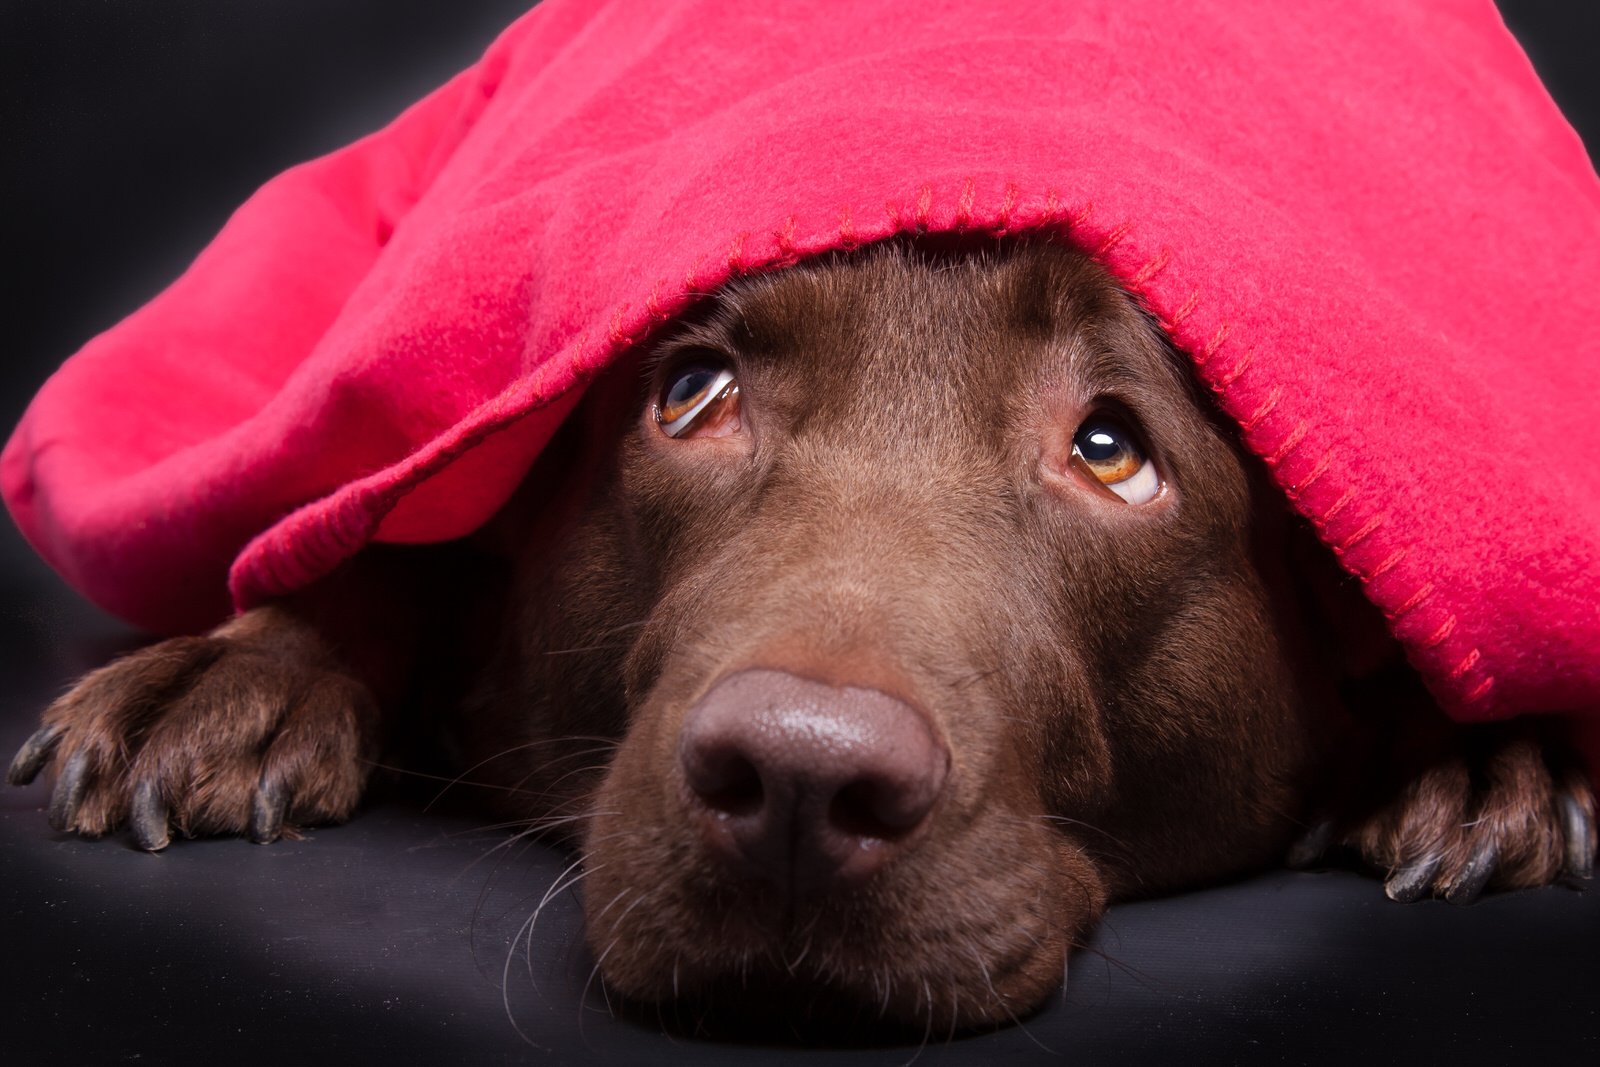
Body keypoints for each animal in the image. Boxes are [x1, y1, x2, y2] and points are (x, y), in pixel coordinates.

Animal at [6, 241, 1593, 1036]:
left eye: (1112, 450)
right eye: (692, 393)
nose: (798, 780)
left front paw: (1485, 742)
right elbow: (386, 532)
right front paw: (236, 667)